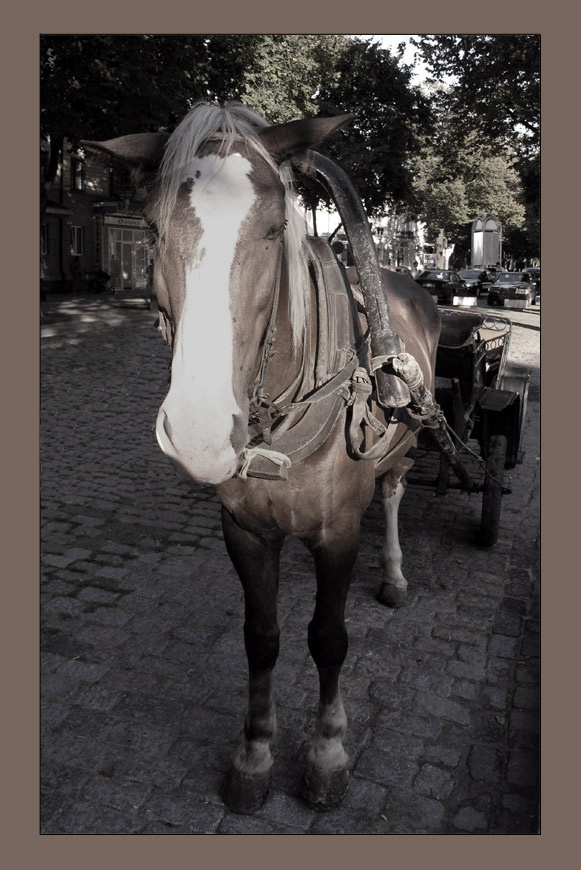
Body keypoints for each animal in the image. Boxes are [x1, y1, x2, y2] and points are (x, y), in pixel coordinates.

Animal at [83, 102, 441, 814]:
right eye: (152, 229)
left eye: (276, 229)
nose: (198, 432)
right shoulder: (245, 531)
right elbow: (262, 638)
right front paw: (254, 755)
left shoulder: (337, 532)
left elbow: (328, 639)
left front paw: (327, 753)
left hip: (405, 447)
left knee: (392, 493)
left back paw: (393, 573)